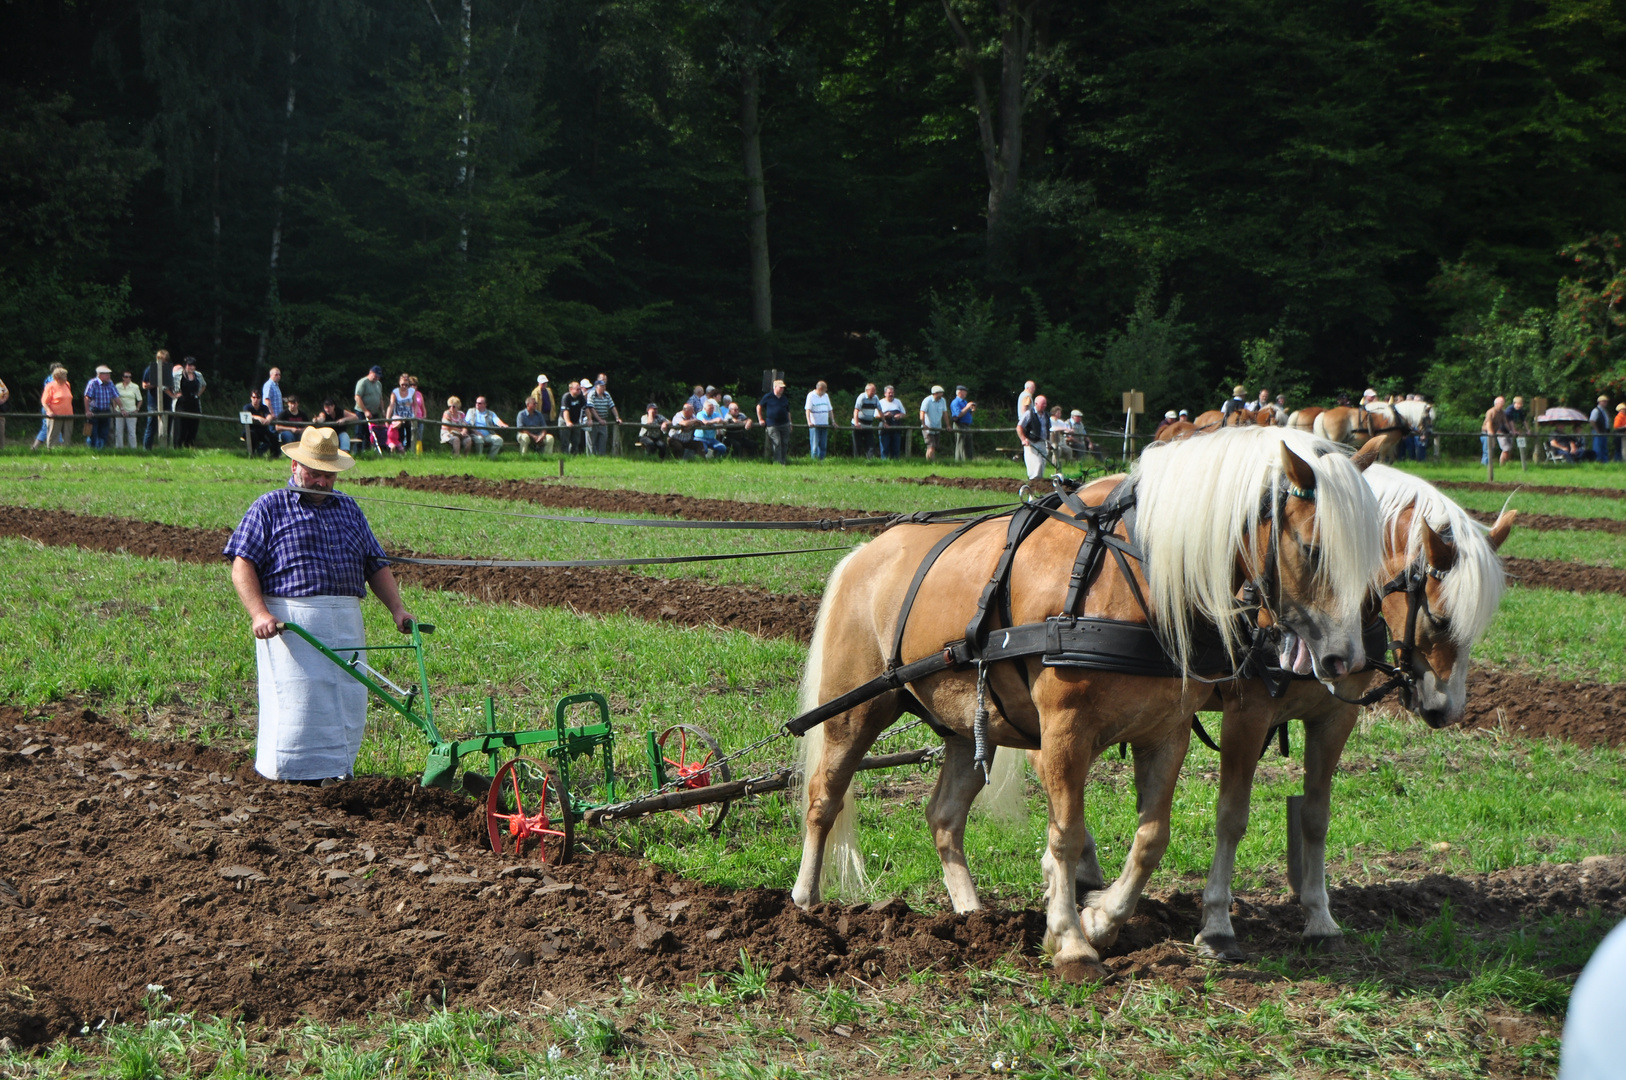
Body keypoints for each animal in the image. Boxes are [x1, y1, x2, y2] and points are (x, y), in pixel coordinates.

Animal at [793, 426, 1378, 975]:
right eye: (1313, 547)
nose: (1347, 661)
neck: (1138, 574)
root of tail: (864, 553)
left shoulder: (1166, 732)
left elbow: (1152, 837)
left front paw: (1099, 920)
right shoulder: (1064, 732)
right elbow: (1066, 836)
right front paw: (1072, 943)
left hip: (966, 724)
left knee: (943, 817)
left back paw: (973, 916)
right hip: (855, 711)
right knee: (824, 797)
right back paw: (805, 906)